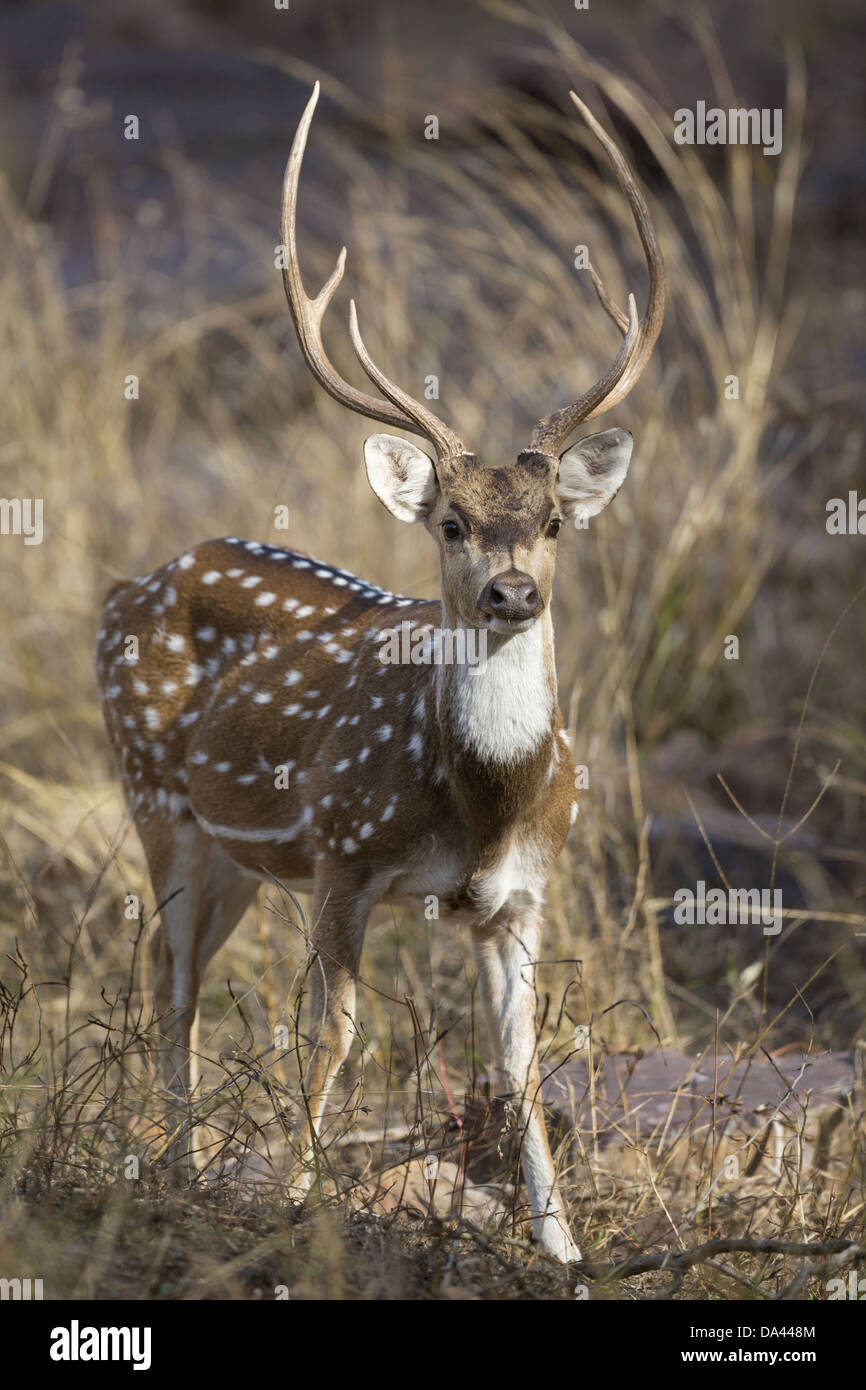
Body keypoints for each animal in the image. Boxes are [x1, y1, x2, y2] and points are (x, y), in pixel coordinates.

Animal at [96, 82, 663, 1263]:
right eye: (449, 521)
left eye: (552, 521)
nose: (510, 593)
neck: (480, 803)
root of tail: (130, 586)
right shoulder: (343, 857)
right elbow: (337, 1033)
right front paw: (298, 1200)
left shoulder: (524, 892)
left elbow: (522, 1059)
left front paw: (563, 1246)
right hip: (154, 795)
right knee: (173, 985)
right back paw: (178, 1174)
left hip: (232, 851)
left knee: (185, 975)